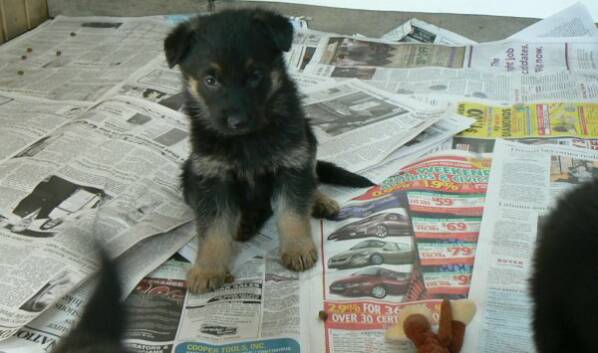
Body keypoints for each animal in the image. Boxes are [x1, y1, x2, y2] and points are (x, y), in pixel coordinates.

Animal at [165, 9, 376, 292]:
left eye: (255, 75)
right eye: (210, 80)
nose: (237, 121)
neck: (247, 139)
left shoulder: (291, 163)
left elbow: (292, 212)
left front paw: (297, 248)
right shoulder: (211, 178)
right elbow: (212, 229)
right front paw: (207, 268)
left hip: (308, 139)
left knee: (311, 177)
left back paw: (319, 200)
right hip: (189, 173)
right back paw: (244, 221)